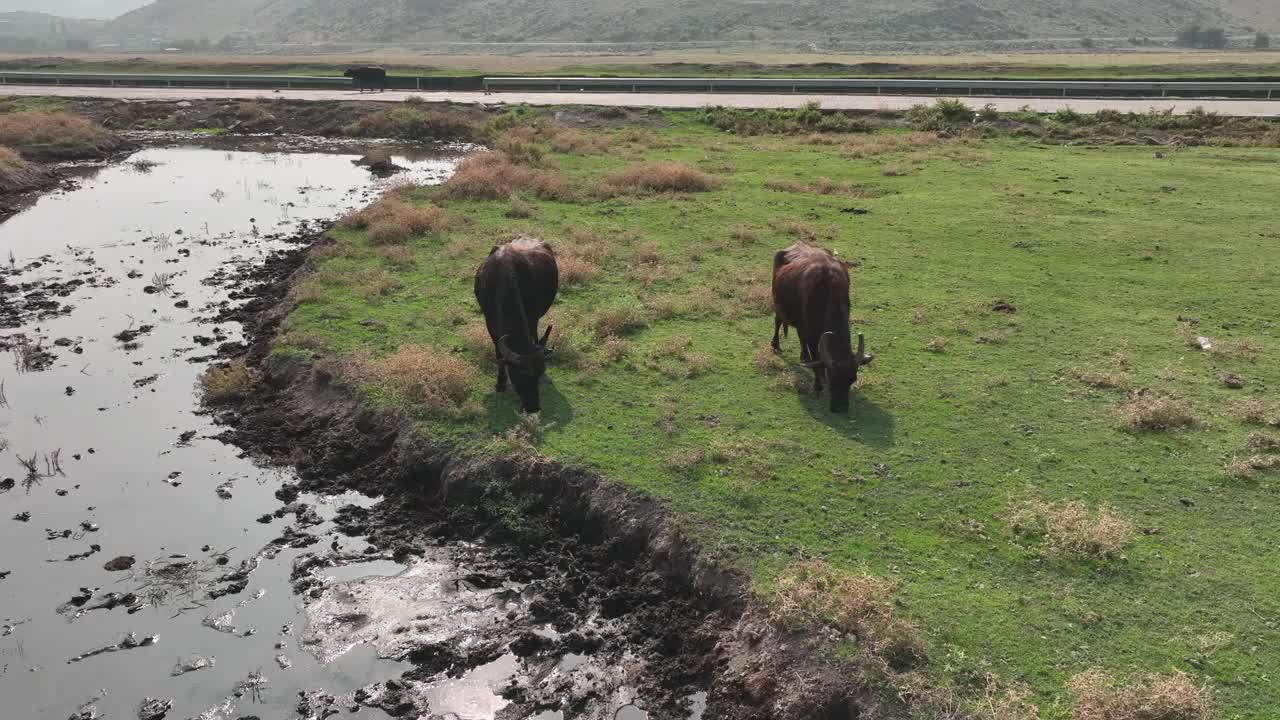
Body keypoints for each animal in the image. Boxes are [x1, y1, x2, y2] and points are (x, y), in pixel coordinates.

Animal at [473, 235, 558, 412]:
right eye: (520, 375)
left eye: (540, 372)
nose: (533, 407)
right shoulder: (489, 321)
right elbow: (498, 352)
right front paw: (500, 383)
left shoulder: (531, 315)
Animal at [768, 242, 870, 412]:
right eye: (833, 378)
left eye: (852, 379)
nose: (841, 408)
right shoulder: (812, 334)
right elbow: (816, 359)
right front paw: (817, 385)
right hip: (778, 304)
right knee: (778, 321)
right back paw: (775, 344)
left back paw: (803, 355)